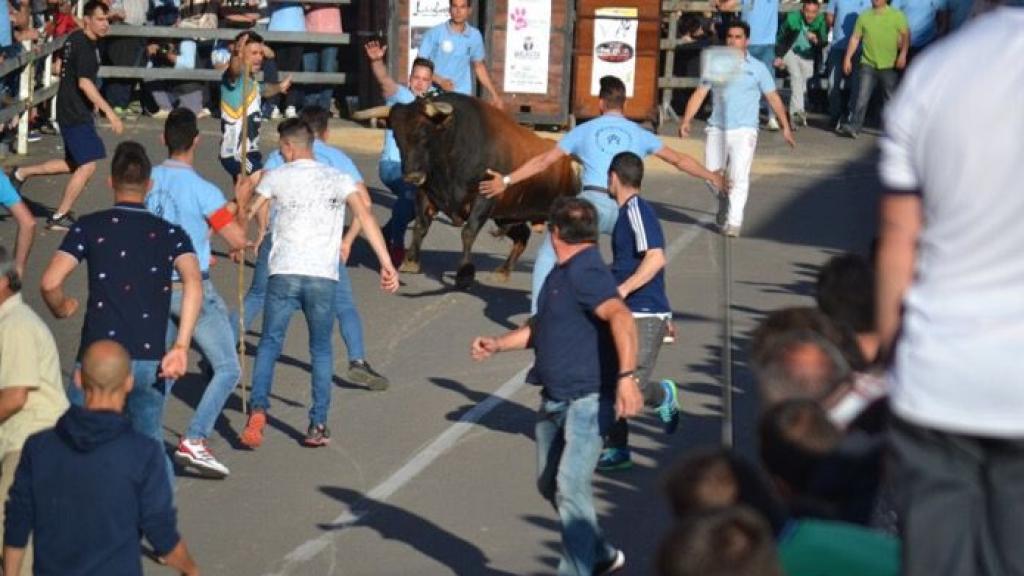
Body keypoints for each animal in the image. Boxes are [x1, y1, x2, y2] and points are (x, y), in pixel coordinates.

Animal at [354, 93, 577, 286]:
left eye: (424, 134)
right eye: (396, 136)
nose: (413, 177)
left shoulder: (483, 199)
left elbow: (468, 232)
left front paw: (465, 273)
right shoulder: (426, 194)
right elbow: (420, 226)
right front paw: (410, 262)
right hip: (508, 214)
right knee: (522, 236)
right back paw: (503, 272)